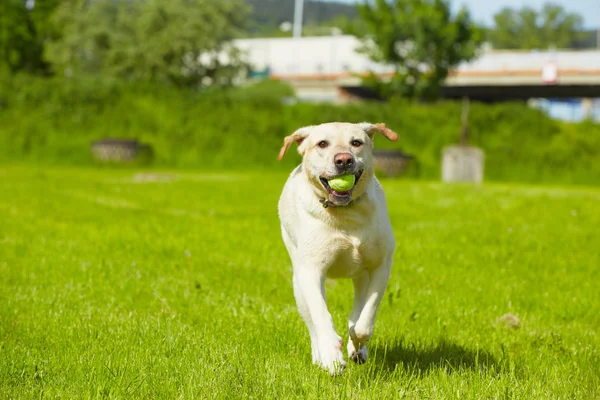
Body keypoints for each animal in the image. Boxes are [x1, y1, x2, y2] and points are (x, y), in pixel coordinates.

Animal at [276, 122, 398, 376]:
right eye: (322, 143)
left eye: (356, 142)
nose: (343, 160)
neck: (346, 213)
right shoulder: (311, 271)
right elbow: (321, 316)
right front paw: (332, 356)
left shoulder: (381, 265)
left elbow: (365, 317)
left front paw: (356, 343)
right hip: (298, 285)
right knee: (312, 323)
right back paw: (320, 356)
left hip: (361, 275)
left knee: (358, 305)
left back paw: (357, 349)